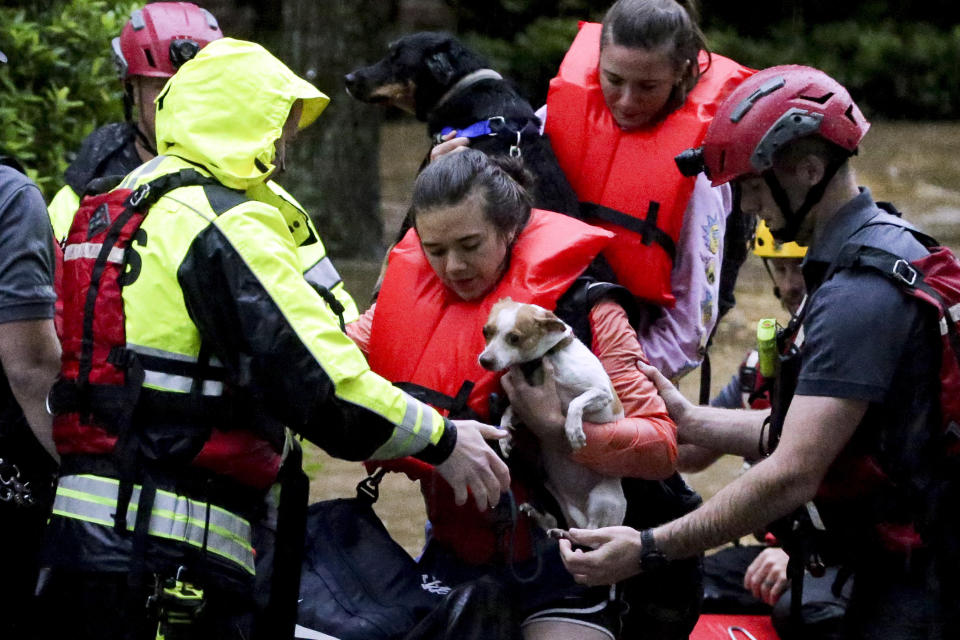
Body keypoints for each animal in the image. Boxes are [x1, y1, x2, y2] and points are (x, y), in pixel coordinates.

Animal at [476, 298, 628, 528]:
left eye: (515, 338)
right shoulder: (522, 407)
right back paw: (545, 521)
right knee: (562, 526)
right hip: (549, 489)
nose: (485, 360)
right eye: (486, 331)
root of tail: (578, 514)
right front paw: (504, 437)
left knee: (593, 534)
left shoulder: (602, 393)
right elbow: (508, 412)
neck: (550, 356)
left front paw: (573, 431)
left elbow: (575, 402)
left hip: (603, 498)